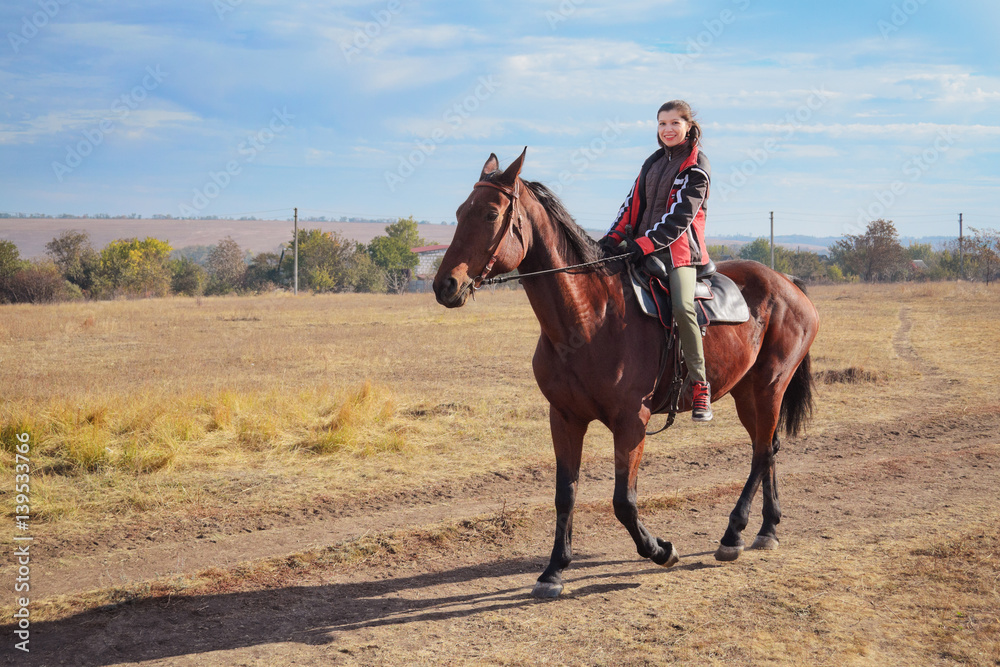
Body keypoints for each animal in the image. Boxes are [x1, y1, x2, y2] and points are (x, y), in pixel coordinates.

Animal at [432, 149, 820, 596]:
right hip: (746, 392)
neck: (588, 320)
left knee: (760, 453)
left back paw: (733, 534)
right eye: (460, 212)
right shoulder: (564, 418)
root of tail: (786, 281)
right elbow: (565, 494)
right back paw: (767, 529)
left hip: (771, 386)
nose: (445, 285)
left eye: (492, 213)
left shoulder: (632, 422)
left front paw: (661, 550)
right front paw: (553, 570)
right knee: (767, 446)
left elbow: (623, 501)